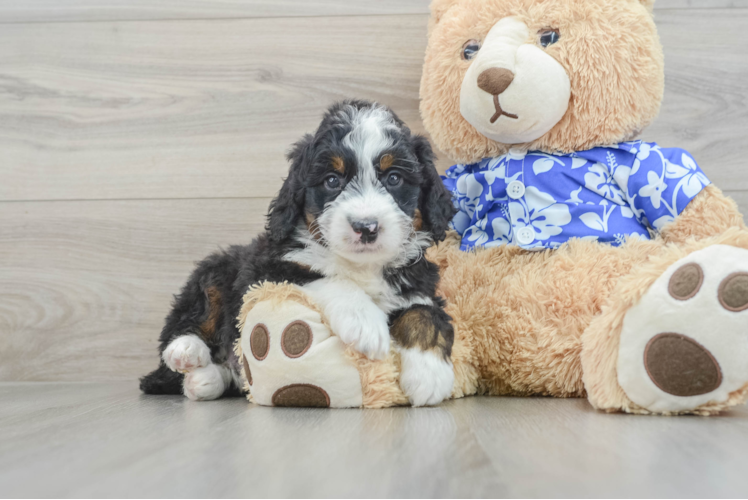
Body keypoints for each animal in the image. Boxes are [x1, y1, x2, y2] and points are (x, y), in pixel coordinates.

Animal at [139, 100, 456, 406]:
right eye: (332, 181)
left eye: (393, 178)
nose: (365, 227)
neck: (362, 265)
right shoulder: (266, 270)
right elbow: (323, 277)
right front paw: (365, 323)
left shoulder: (419, 284)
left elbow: (425, 313)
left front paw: (429, 374)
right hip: (215, 271)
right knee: (190, 318)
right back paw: (186, 351)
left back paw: (204, 381)